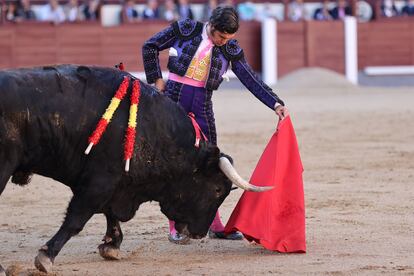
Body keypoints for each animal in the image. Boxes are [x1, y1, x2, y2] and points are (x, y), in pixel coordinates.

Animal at [0, 65, 272, 274]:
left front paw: (111, 246)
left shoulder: (116, 183)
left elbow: (110, 213)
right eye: (217, 190)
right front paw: (46, 258)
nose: (200, 233)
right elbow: (77, 219)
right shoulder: (99, 182)